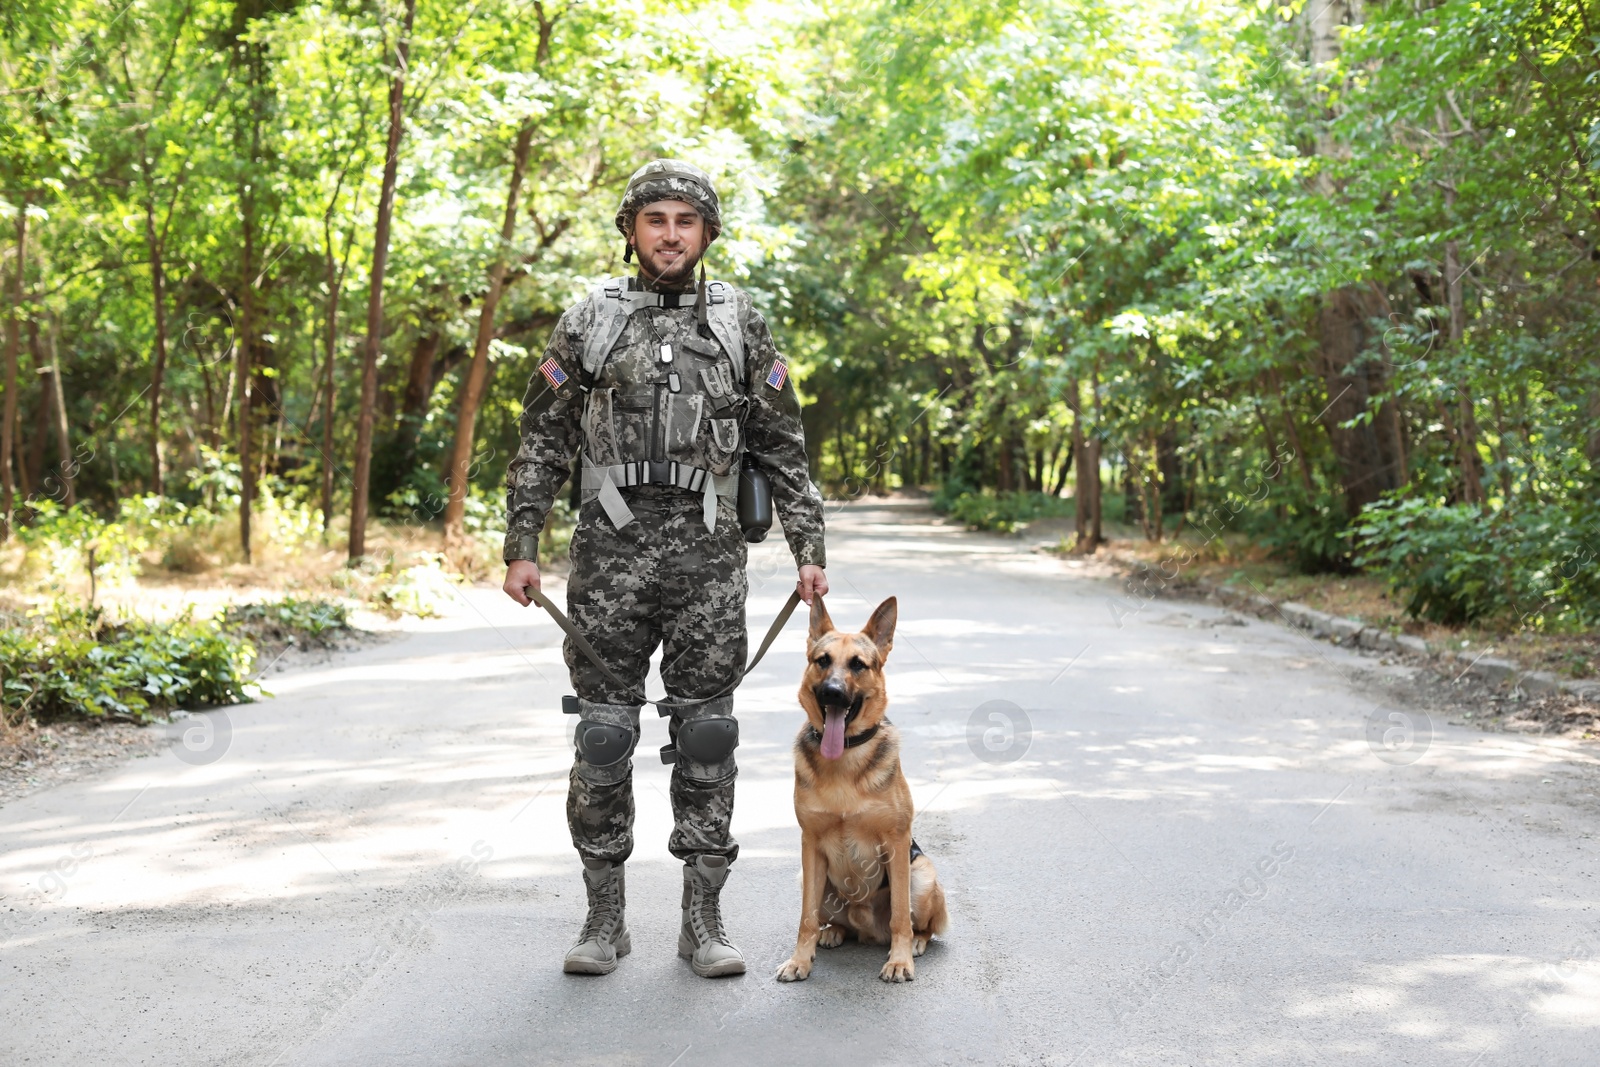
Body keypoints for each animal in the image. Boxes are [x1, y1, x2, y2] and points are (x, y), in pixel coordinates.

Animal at [777, 591, 947, 985]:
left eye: (858, 665)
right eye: (822, 661)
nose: (833, 693)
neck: (844, 761)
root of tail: (868, 929)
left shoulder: (897, 843)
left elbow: (900, 915)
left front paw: (900, 961)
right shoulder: (810, 845)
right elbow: (805, 919)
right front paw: (799, 960)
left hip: (922, 873)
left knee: (921, 925)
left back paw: (916, 942)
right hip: (811, 879)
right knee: (833, 921)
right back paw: (834, 932)